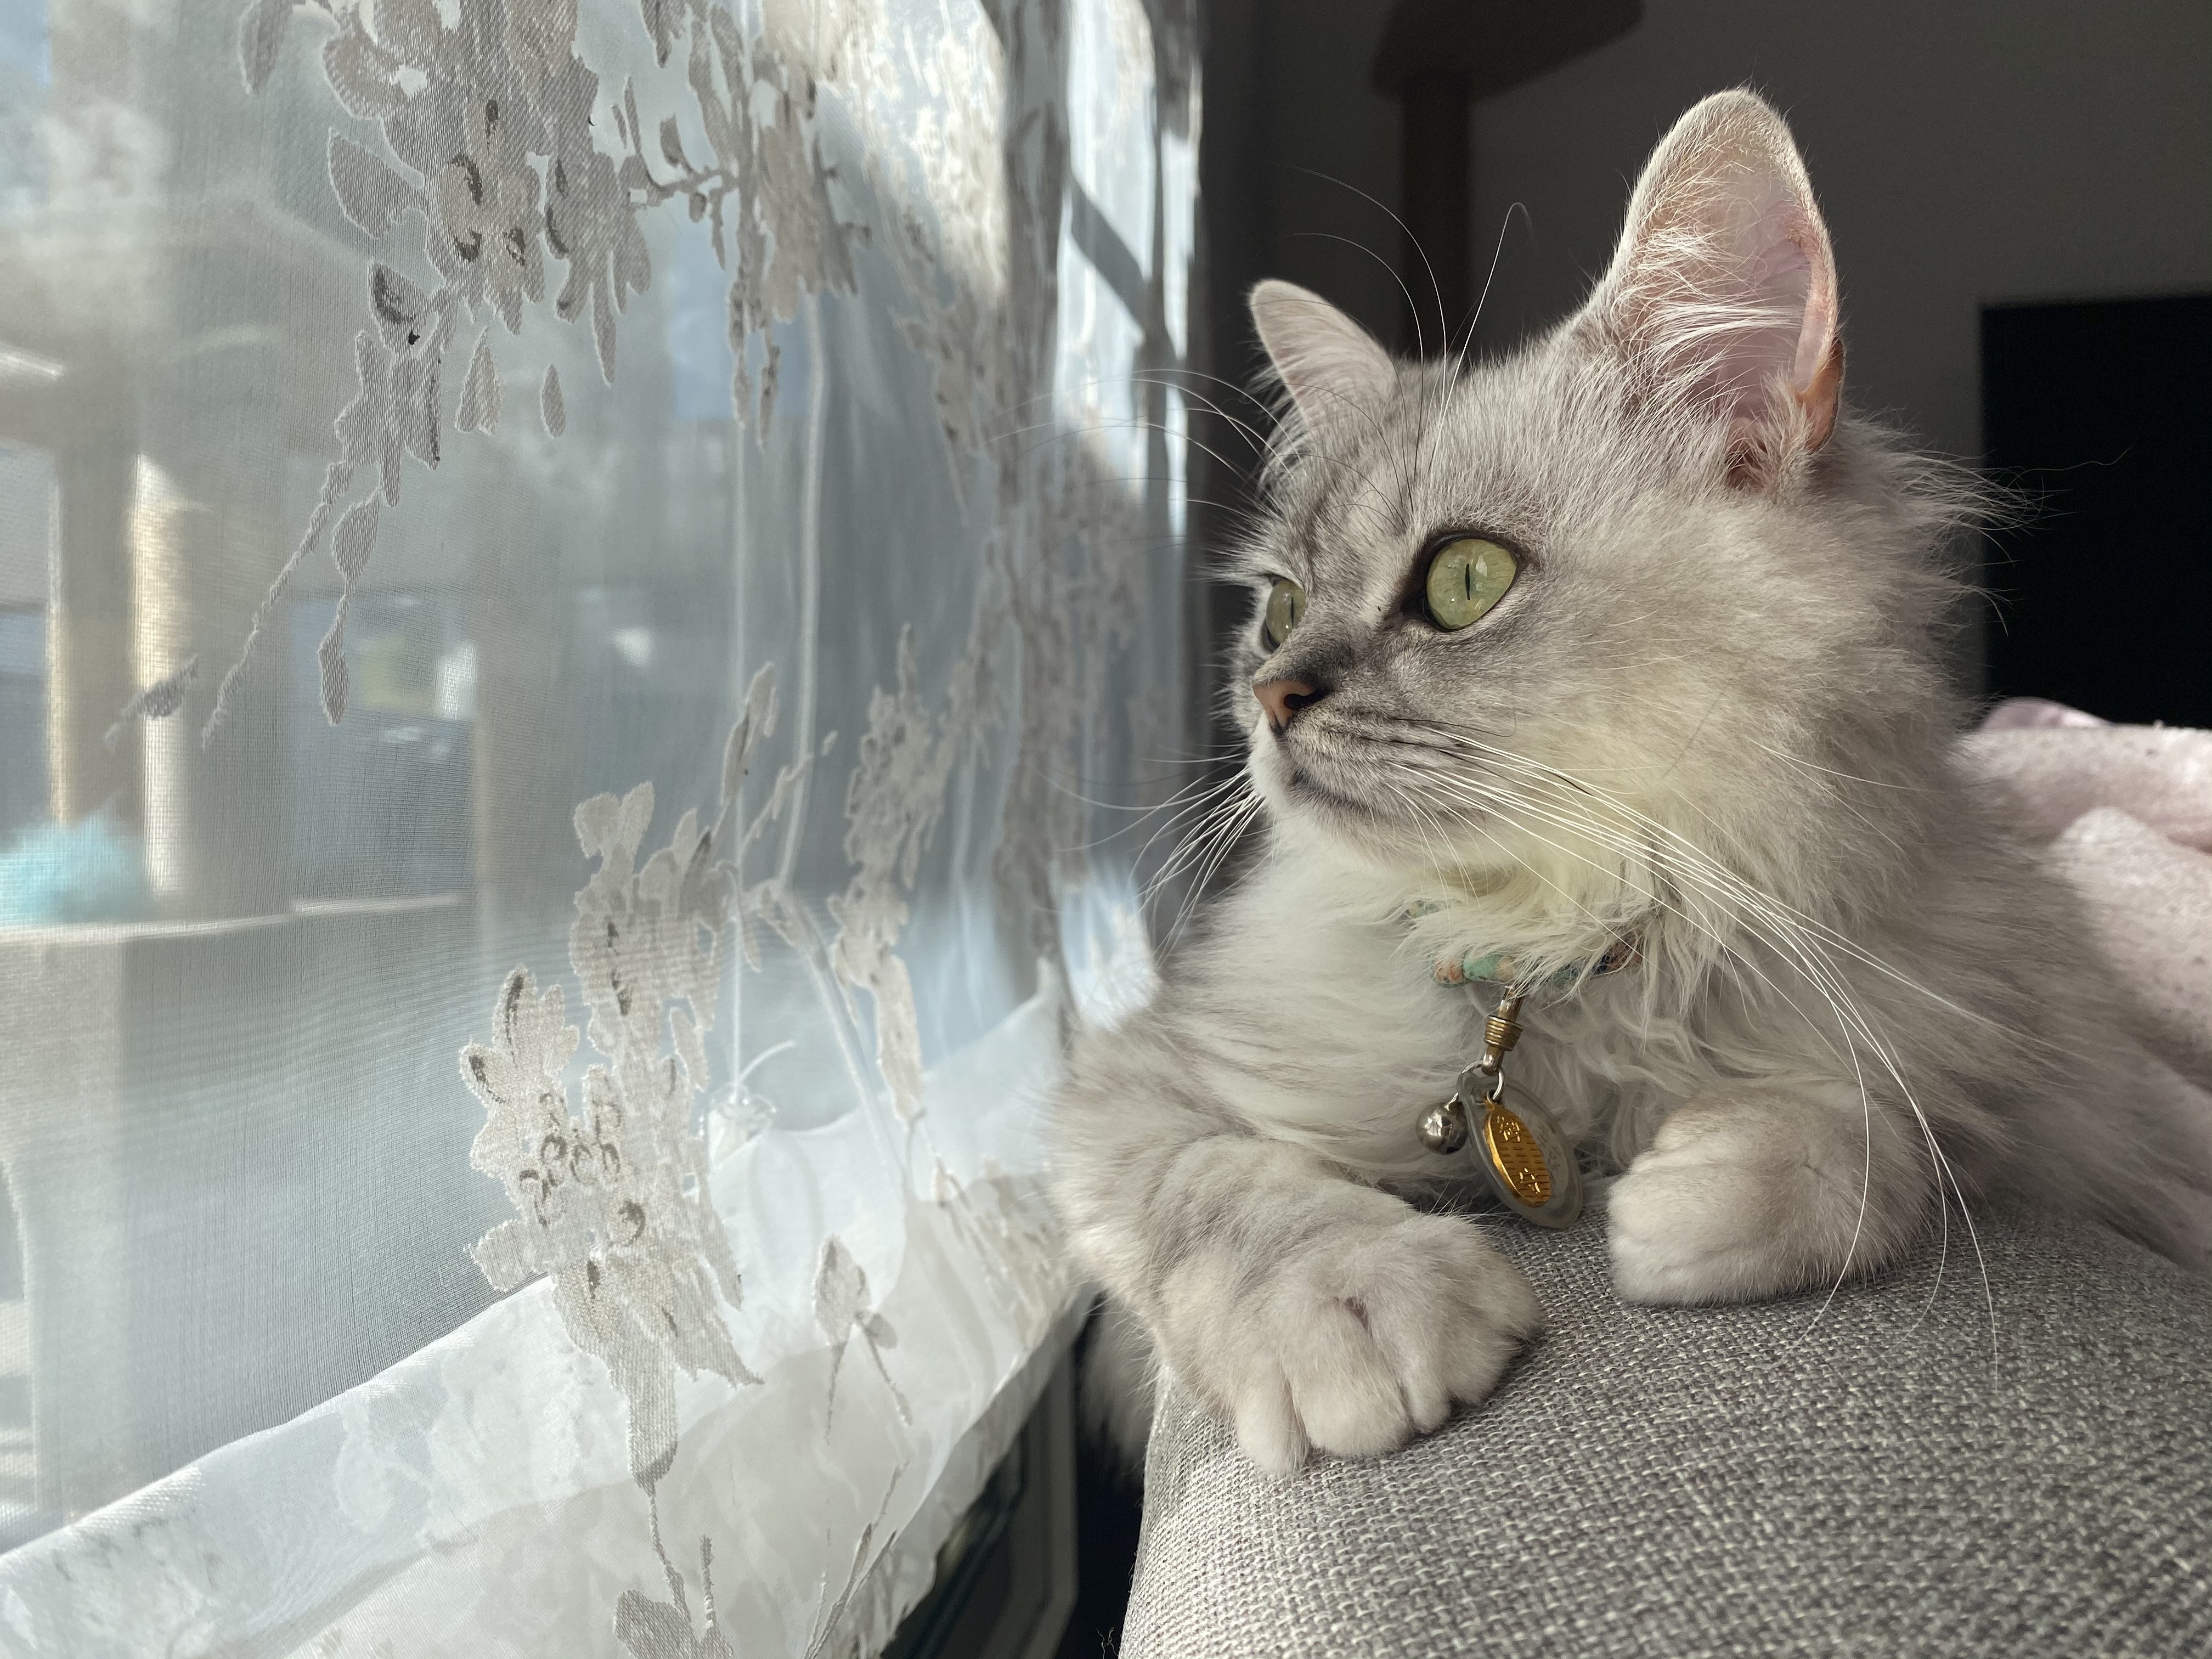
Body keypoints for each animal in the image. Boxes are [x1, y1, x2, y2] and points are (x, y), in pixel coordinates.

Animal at [1049, 89, 2211, 1477]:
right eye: (1278, 611)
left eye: (1464, 583)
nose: (1272, 701)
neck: (1563, 949)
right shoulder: (1142, 1087)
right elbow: (1232, 1196)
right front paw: (1367, 1315)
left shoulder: (2002, 1091)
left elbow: (1869, 1138)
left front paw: (1686, 1210)